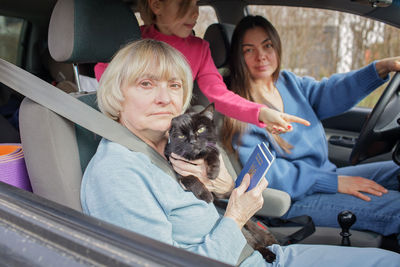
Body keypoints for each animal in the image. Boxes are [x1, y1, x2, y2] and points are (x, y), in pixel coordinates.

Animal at [166, 104, 278, 264]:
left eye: (200, 129)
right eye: (181, 136)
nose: (192, 141)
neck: (195, 158)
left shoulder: (212, 151)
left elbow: (213, 153)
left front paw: (213, 172)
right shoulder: (178, 168)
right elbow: (191, 179)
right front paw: (206, 195)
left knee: (253, 233)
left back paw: (268, 245)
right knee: (252, 243)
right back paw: (269, 253)